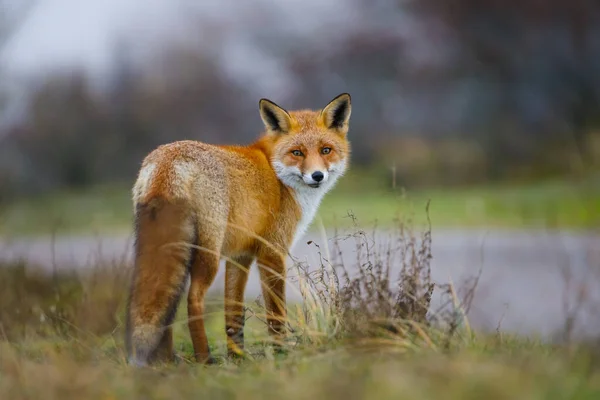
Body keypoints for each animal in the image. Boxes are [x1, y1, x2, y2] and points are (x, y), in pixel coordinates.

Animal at [126, 93, 352, 366]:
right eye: (297, 153)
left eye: (325, 150)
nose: (317, 176)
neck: (278, 177)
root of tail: (167, 160)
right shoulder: (272, 251)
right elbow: (276, 313)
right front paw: (280, 351)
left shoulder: (239, 256)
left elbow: (233, 314)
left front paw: (237, 358)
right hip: (208, 254)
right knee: (193, 299)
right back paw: (204, 359)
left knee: (166, 301)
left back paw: (167, 361)